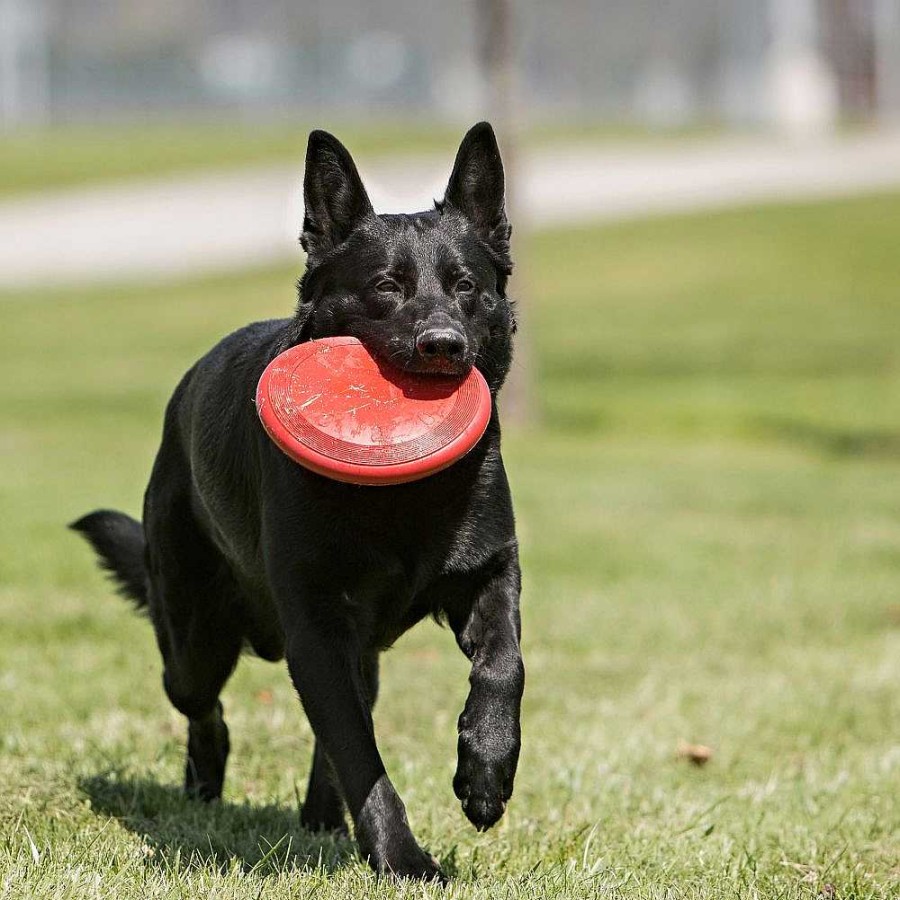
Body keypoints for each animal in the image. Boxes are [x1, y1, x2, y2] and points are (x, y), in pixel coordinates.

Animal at [74, 123, 524, 884]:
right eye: (386, 287)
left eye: (466, 286)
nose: (442, 346)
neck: (405, 498)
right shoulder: (316, 626)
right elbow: (358, 753)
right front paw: (404, 860)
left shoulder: (489, 574)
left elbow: (503, 666)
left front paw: (485, 774)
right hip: (195, 639)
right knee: (207, 707)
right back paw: (207, 786)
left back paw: (321, 819)